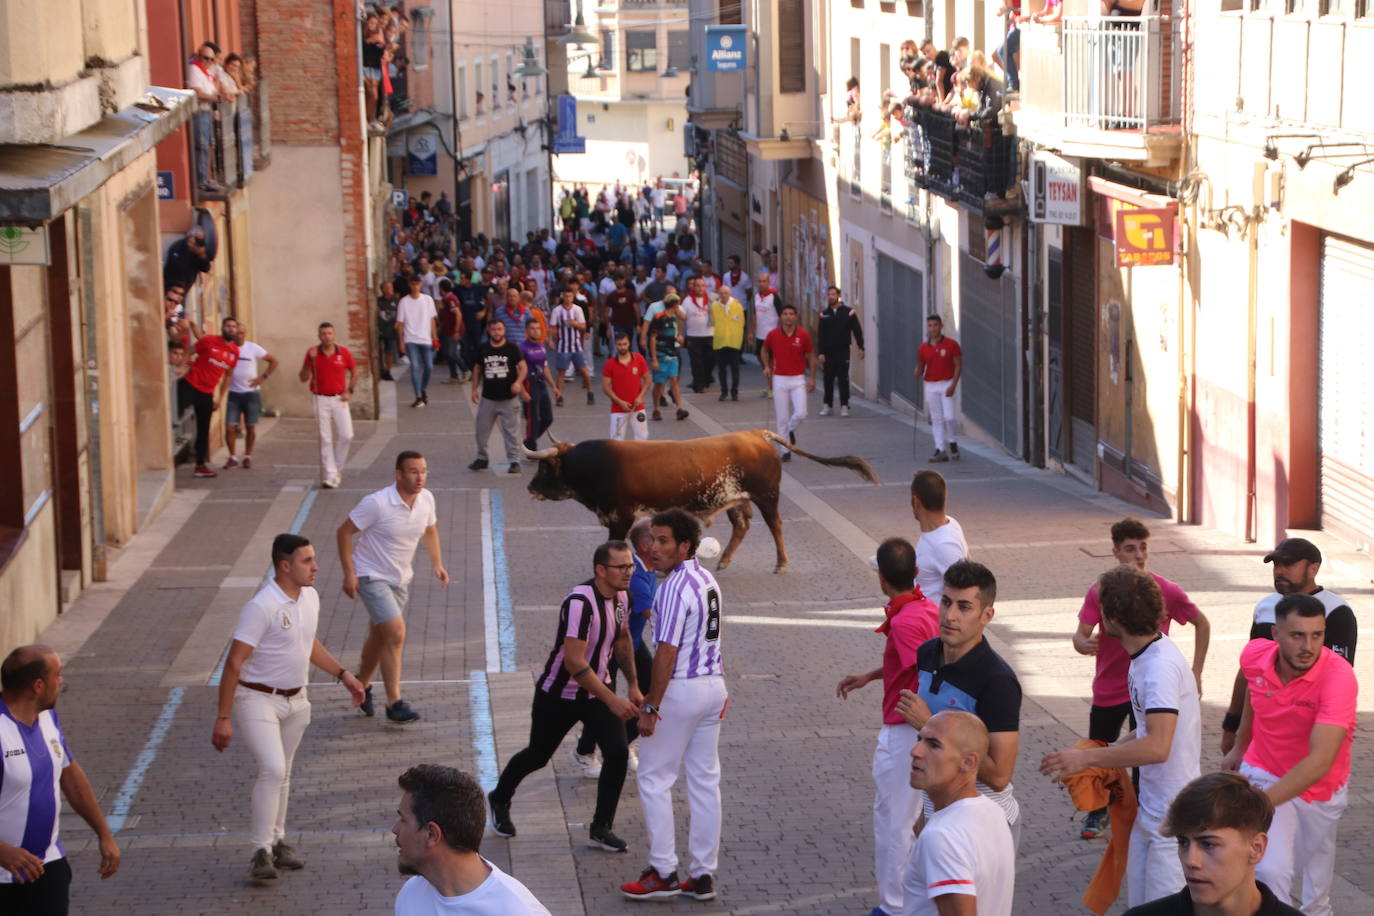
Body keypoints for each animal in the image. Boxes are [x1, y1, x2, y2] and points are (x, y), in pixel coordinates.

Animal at [519, 425, 873, 568]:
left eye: (546, 467)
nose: (530, 488)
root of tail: (757, 434)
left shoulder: (620, 515)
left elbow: (614, 543)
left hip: (766, 495)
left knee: (775, 525)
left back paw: (781, 563)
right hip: (735, 499)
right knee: (742, 526)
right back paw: (725, 560)